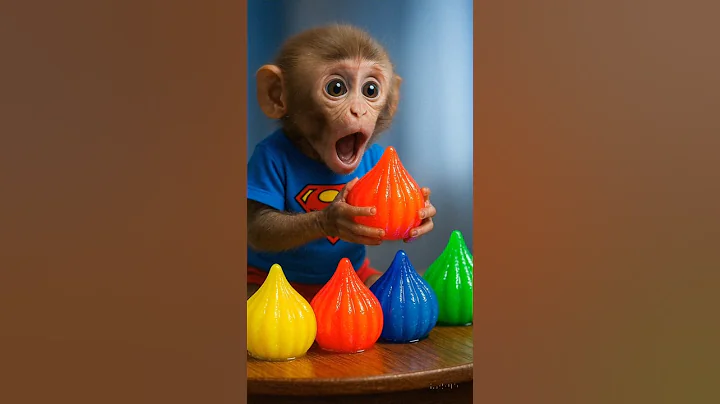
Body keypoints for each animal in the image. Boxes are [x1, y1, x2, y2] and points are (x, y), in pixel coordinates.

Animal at [247, 24, 437, 301]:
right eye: (336, 88)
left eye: (370, 90)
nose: (359, 110)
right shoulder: (264, 158)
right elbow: (260, 224)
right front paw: (334, 217)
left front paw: (427, 212)